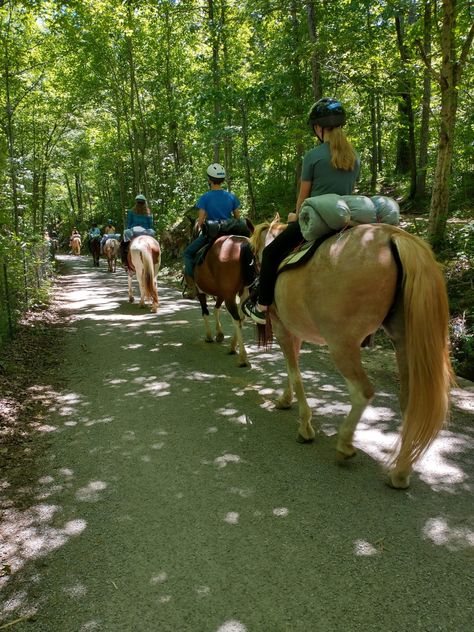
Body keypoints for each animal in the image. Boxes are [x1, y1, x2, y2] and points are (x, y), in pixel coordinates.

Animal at [193, 235, 256, 368]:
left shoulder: (200, 291)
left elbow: (205, 312)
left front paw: (209, 336)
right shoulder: (222, 293)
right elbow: (216, 309)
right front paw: (219, 334)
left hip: (230, 295)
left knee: (236, 319)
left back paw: (242, 357)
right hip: (244, 291)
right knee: (241, 317)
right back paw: (233, 347)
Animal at [250, 217, 454, 488]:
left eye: (253, 253)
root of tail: (394, 237)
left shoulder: (284, 329)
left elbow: (294, 372)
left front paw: (305, 426)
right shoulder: (295, 332)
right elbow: (291, 366)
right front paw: (285, 399)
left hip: (342, 344)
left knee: (362, 391)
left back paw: (345, 445)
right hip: (404, 343)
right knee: (409, 401)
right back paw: (401, 471)